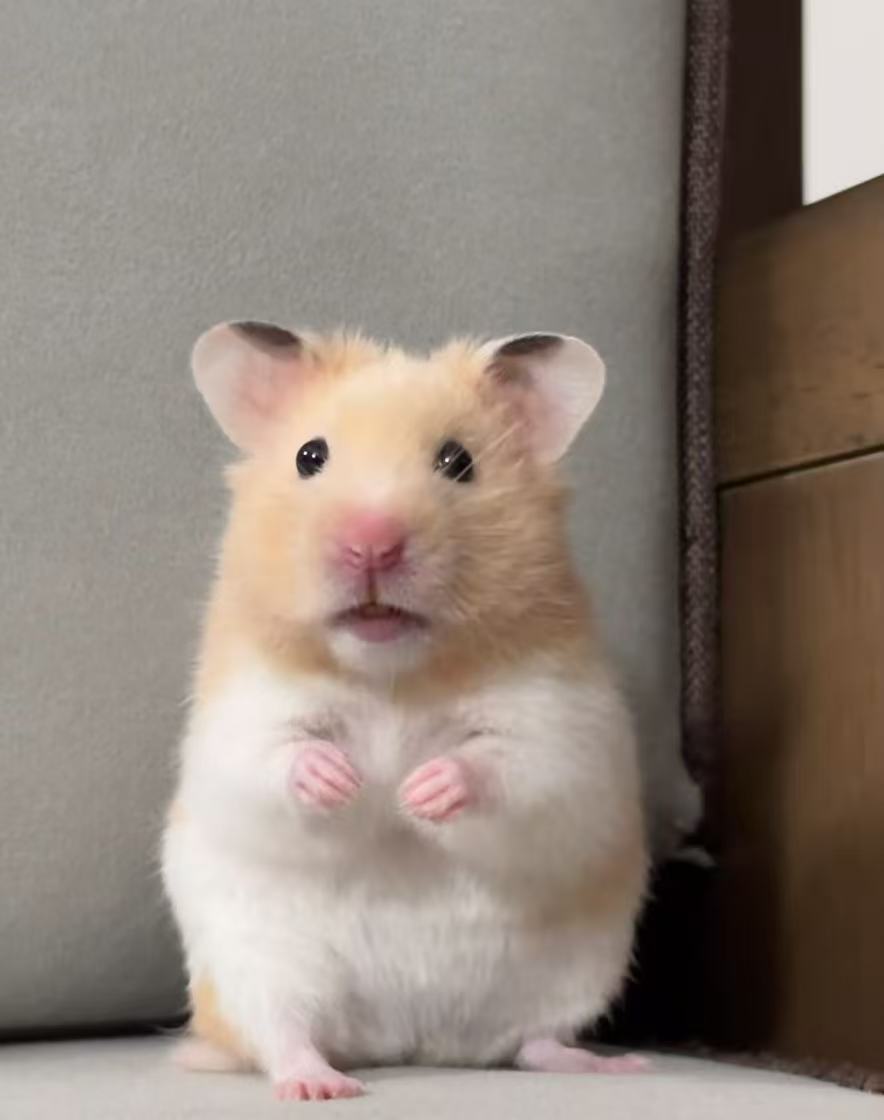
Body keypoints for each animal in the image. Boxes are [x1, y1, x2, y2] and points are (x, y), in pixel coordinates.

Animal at [161, 321, 648, 1101]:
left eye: (459, 462)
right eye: (310, 456)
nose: (372, 543)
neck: (390, 672)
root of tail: (407, 1039)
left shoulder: (560, 729)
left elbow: (505, 764)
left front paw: (421, 792)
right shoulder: (240, 721)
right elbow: (275, 758)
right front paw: (345, 781)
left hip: (575, 976)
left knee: (535, 1042)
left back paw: (615, 1064)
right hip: (254, 969)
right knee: (284, 1037)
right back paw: (320, 1085)